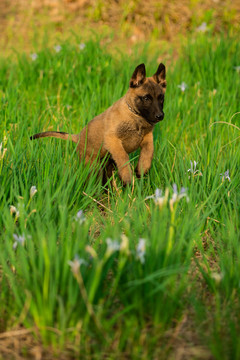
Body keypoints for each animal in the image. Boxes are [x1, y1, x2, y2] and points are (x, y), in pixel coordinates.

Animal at [30, 62, 167, 184]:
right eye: (146, 98)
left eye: (161, 98)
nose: (160, 116)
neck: (135, 116)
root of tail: (78, 137)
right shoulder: (112, 140)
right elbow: (123, 156)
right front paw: (127, 176)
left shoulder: (147, 137)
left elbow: (149, 151)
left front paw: (142, 168)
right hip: (94, 167)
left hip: (106, 165)